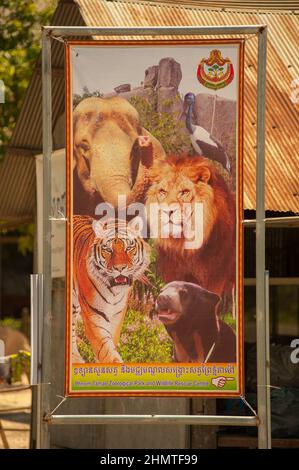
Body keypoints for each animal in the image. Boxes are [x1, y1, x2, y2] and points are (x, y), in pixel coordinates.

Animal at [72, 215, 151, 366]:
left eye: (129, 247)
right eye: (108, 249)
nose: (120, 268)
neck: (114, 293)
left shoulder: (118, 315)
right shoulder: (94, 315)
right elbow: (106, 349)